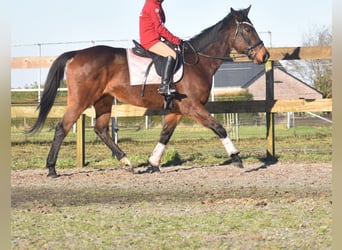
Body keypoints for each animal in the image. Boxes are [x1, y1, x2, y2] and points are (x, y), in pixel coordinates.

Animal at [28, 6, 270, 178]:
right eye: (247, 29)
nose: (265, 56)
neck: (198, 61)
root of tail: (77, 54)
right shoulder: (192, 106)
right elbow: (218, 127)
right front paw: (236, 157)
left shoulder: (177, 110)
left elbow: (165, 135)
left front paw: (153, 163)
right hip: (80, 100)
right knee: (62, 128)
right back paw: (51, 169)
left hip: (103, 100)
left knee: (101, 129)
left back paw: (127, 163)